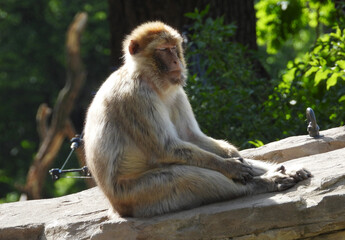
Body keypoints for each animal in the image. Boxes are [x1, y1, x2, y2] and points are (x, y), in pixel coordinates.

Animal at [84, 22, 312, 218]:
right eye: (163, 50)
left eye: (174, 48)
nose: (176, 60)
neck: (150, 80)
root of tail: (116, 207)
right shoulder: (136, 98)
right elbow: (166, 147)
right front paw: (230, 167)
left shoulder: (177, 92)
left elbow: (191, 137)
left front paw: (234, 156)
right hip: (137, 196)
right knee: (182, 175)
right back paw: (264, 182)